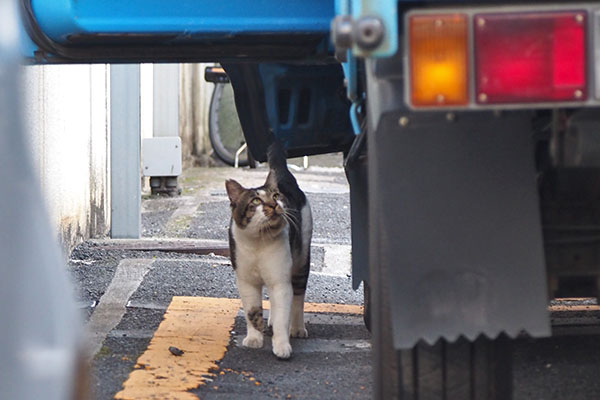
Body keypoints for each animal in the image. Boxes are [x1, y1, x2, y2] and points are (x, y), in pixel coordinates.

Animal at [223, 141, 312, 360]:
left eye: (276, 197)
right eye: (255, 202)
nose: (274, 205)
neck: (258, 243)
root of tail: (282, 173)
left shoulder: (280, 281)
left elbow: (282, 316)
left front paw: (281, 346)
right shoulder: (246, 282)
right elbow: (253, 311)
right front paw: (254, 338)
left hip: (301, 261)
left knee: (298, 297)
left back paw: (297, 328)